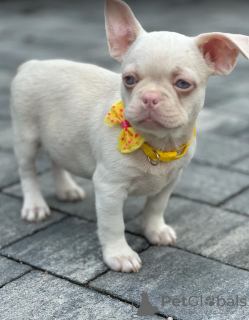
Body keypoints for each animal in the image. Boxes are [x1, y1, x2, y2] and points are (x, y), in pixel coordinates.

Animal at [10, 0, 249, 272]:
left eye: (183, 84)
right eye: (129, 79)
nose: (150, 97)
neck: (157, 143)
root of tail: (32, 64)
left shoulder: (170, 180)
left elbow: (156, 207)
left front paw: (155, 230)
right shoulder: (109, 188)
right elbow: (113, 225)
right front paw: (120, 255)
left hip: (59, 137)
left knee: (55, 159)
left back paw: (66, 189)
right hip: (26, 135)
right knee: (28, 172)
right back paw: (35, 206)